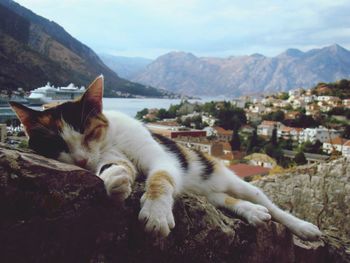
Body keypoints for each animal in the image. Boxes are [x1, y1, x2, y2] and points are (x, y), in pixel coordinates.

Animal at [9, 76, 322, 241]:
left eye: (88, 133)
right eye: (58, 144)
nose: (82, 160)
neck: (111, 139)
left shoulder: (160, 158)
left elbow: (160, 178)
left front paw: (157, 213)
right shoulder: (108, 157)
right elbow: (114, 167)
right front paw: (115, 179)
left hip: (236, 182)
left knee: (270, 206)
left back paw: (302, 226)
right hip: (210, 194)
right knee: (227, 201)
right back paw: (252, 213)